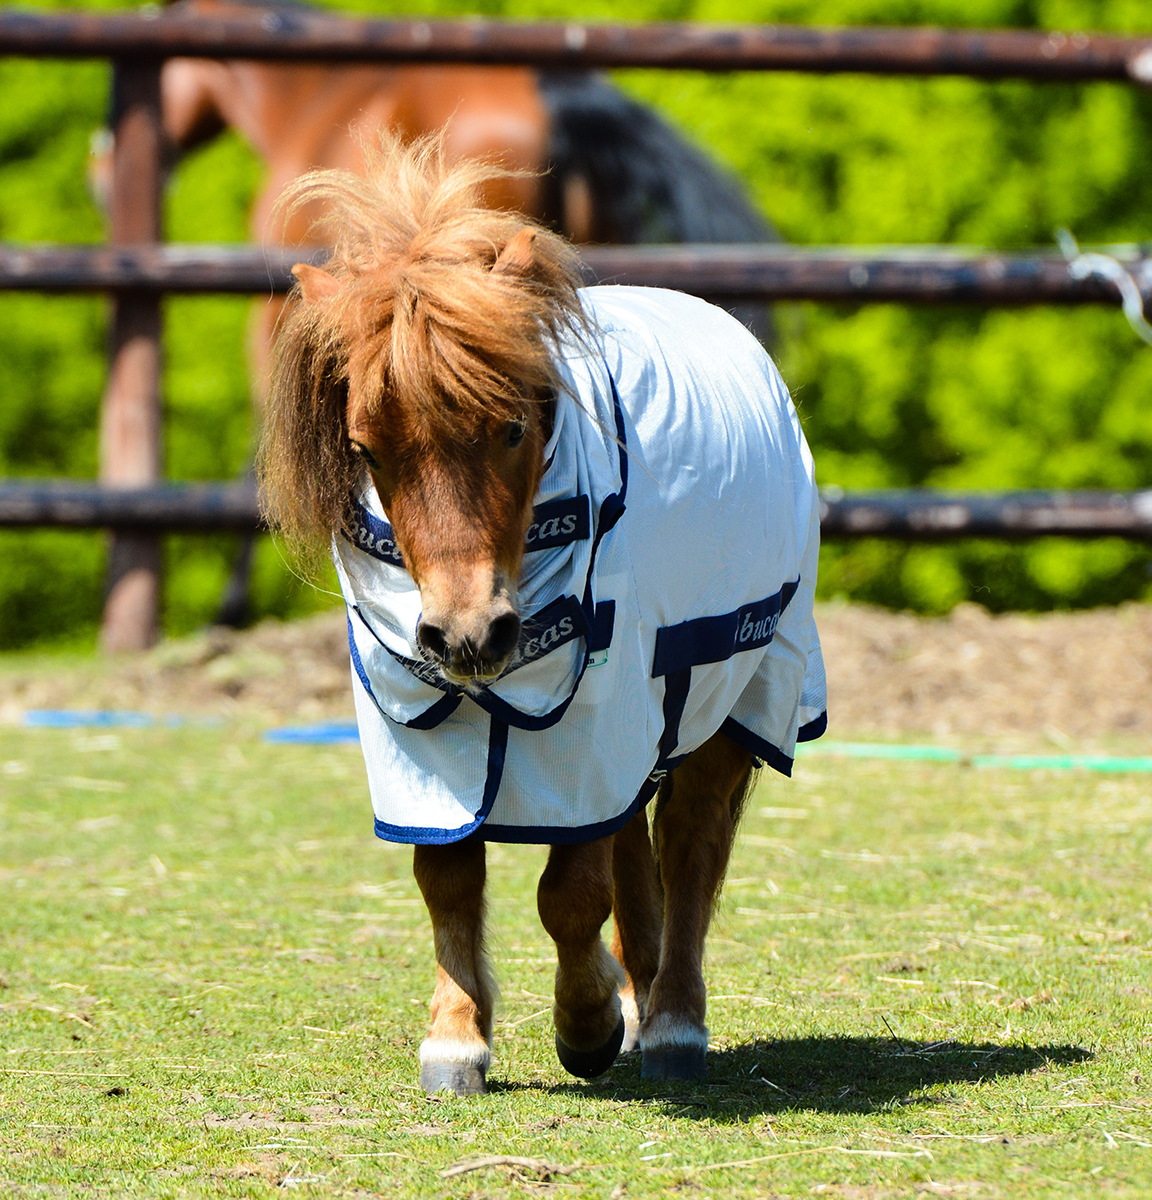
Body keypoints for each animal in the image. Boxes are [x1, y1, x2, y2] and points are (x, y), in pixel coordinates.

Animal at [259, 133, 825, 1095]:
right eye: (367, 447)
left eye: (513, 429)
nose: (467, 633)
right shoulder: (422, 724)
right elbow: (447, 875)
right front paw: (458, 1038)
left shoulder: (594, 717)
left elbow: (569, 893)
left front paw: (587, 1024)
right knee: (636, 842)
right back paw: (641, 997)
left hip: (737, 682)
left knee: (690, 843)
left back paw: (670, 1021)